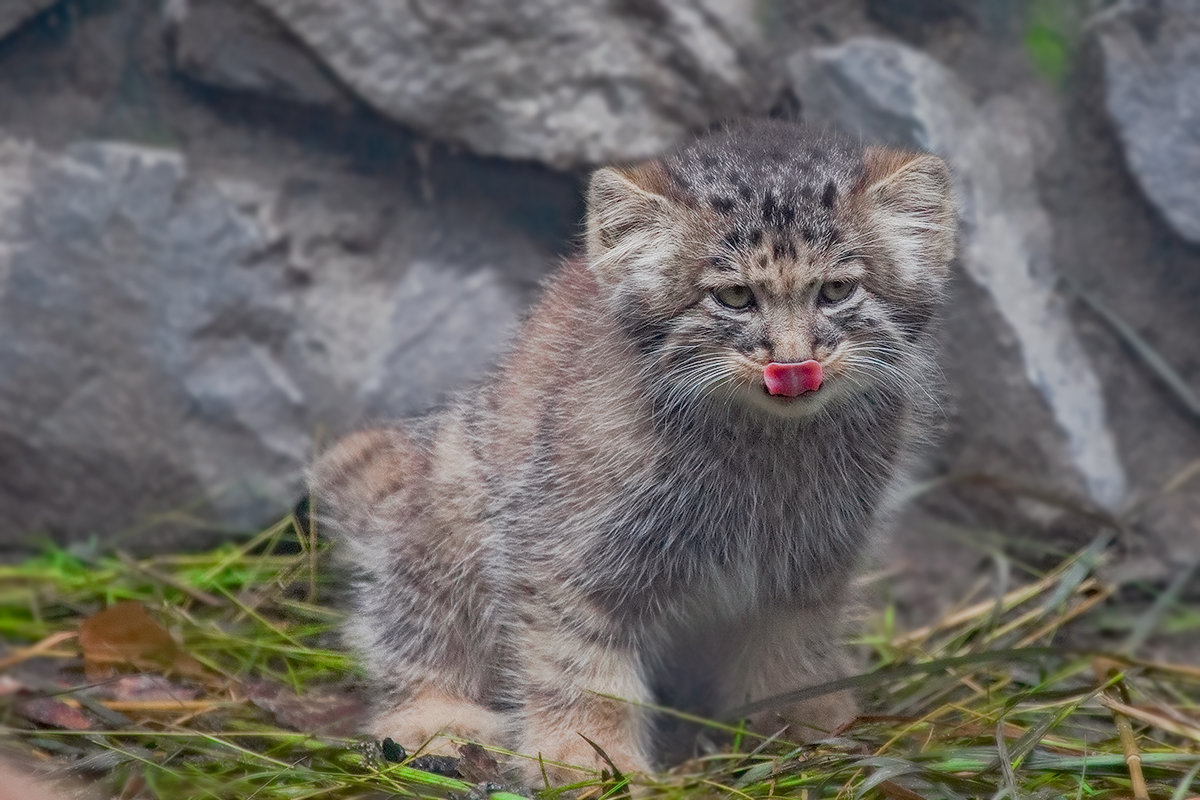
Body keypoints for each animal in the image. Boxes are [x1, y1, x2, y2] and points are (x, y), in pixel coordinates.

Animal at [312, 118, 955, 782]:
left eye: (836, 291)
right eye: (735, 298)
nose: (793, 362)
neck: (767, 446)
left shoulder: (814, 558)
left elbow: (794, 649)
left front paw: (809, 727)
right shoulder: (569, 551)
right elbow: (579, 665)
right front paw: (591, 761)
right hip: (451, 506)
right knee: (413, 632)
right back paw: (437, 723)